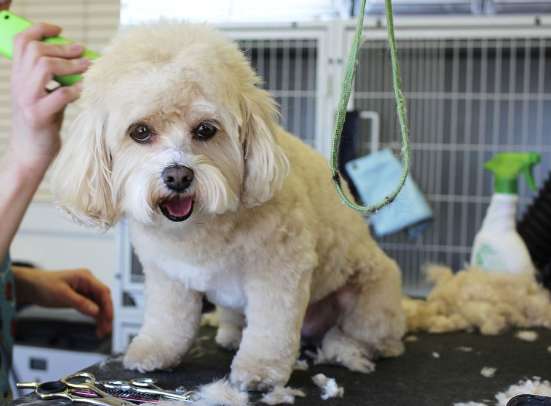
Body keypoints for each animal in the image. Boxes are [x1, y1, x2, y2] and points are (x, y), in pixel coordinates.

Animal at [52, 23, 406, 390]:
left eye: (205, 130)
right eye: (140, 132)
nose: (178, 176)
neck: (197, 229)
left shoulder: (280, 270)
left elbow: (271, 328)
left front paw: (261, 370)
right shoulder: (167, 275)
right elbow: (168, 319)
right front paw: (154, 350)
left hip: (370, 298)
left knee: (376, 338)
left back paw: (345, 346)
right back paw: (232, 334)